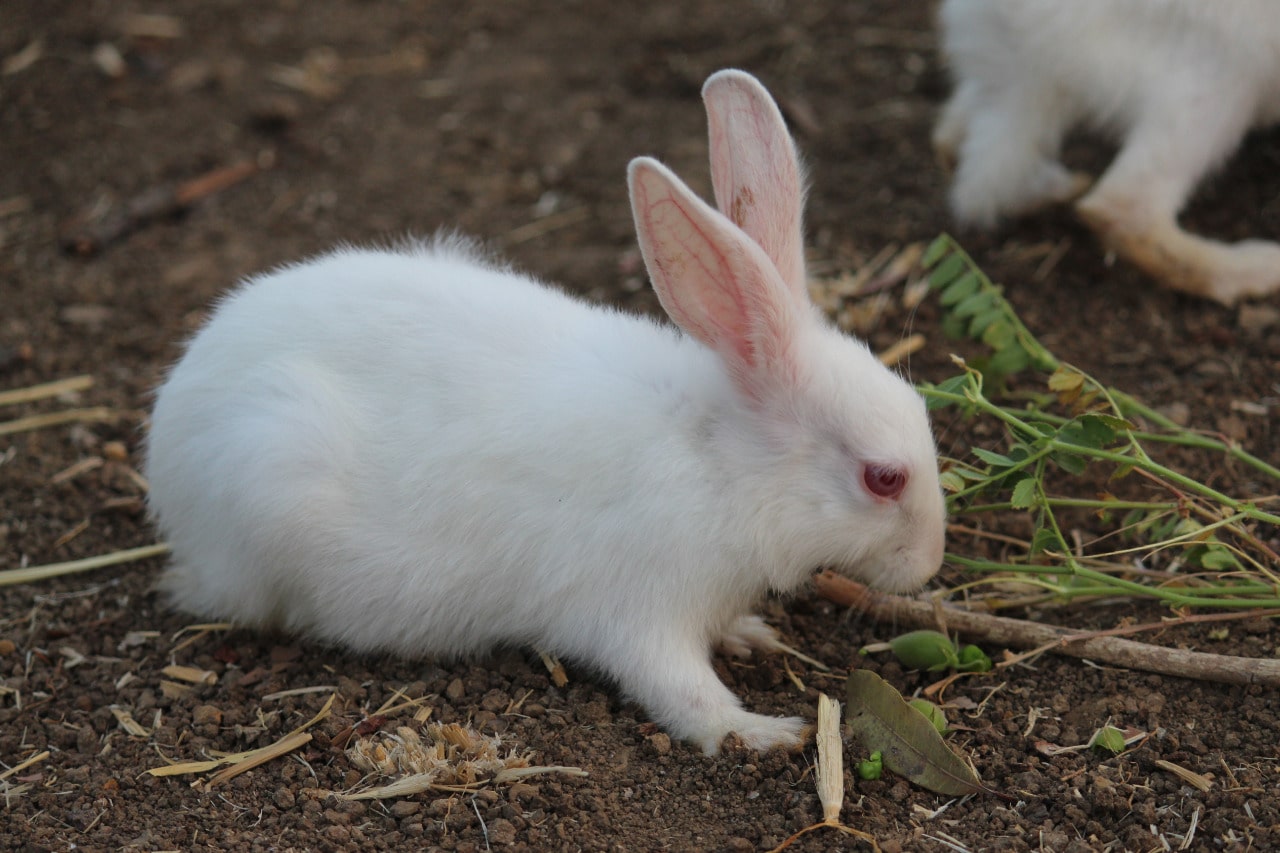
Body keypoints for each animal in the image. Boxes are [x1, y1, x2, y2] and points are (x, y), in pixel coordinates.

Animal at [144, 69, 946, 755]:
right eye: (882, 478)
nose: (930, 564)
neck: (721, 458)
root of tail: (167, 466)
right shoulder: (643, 615)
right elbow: (684, 694)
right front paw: (762, 731)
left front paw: (753, 636)